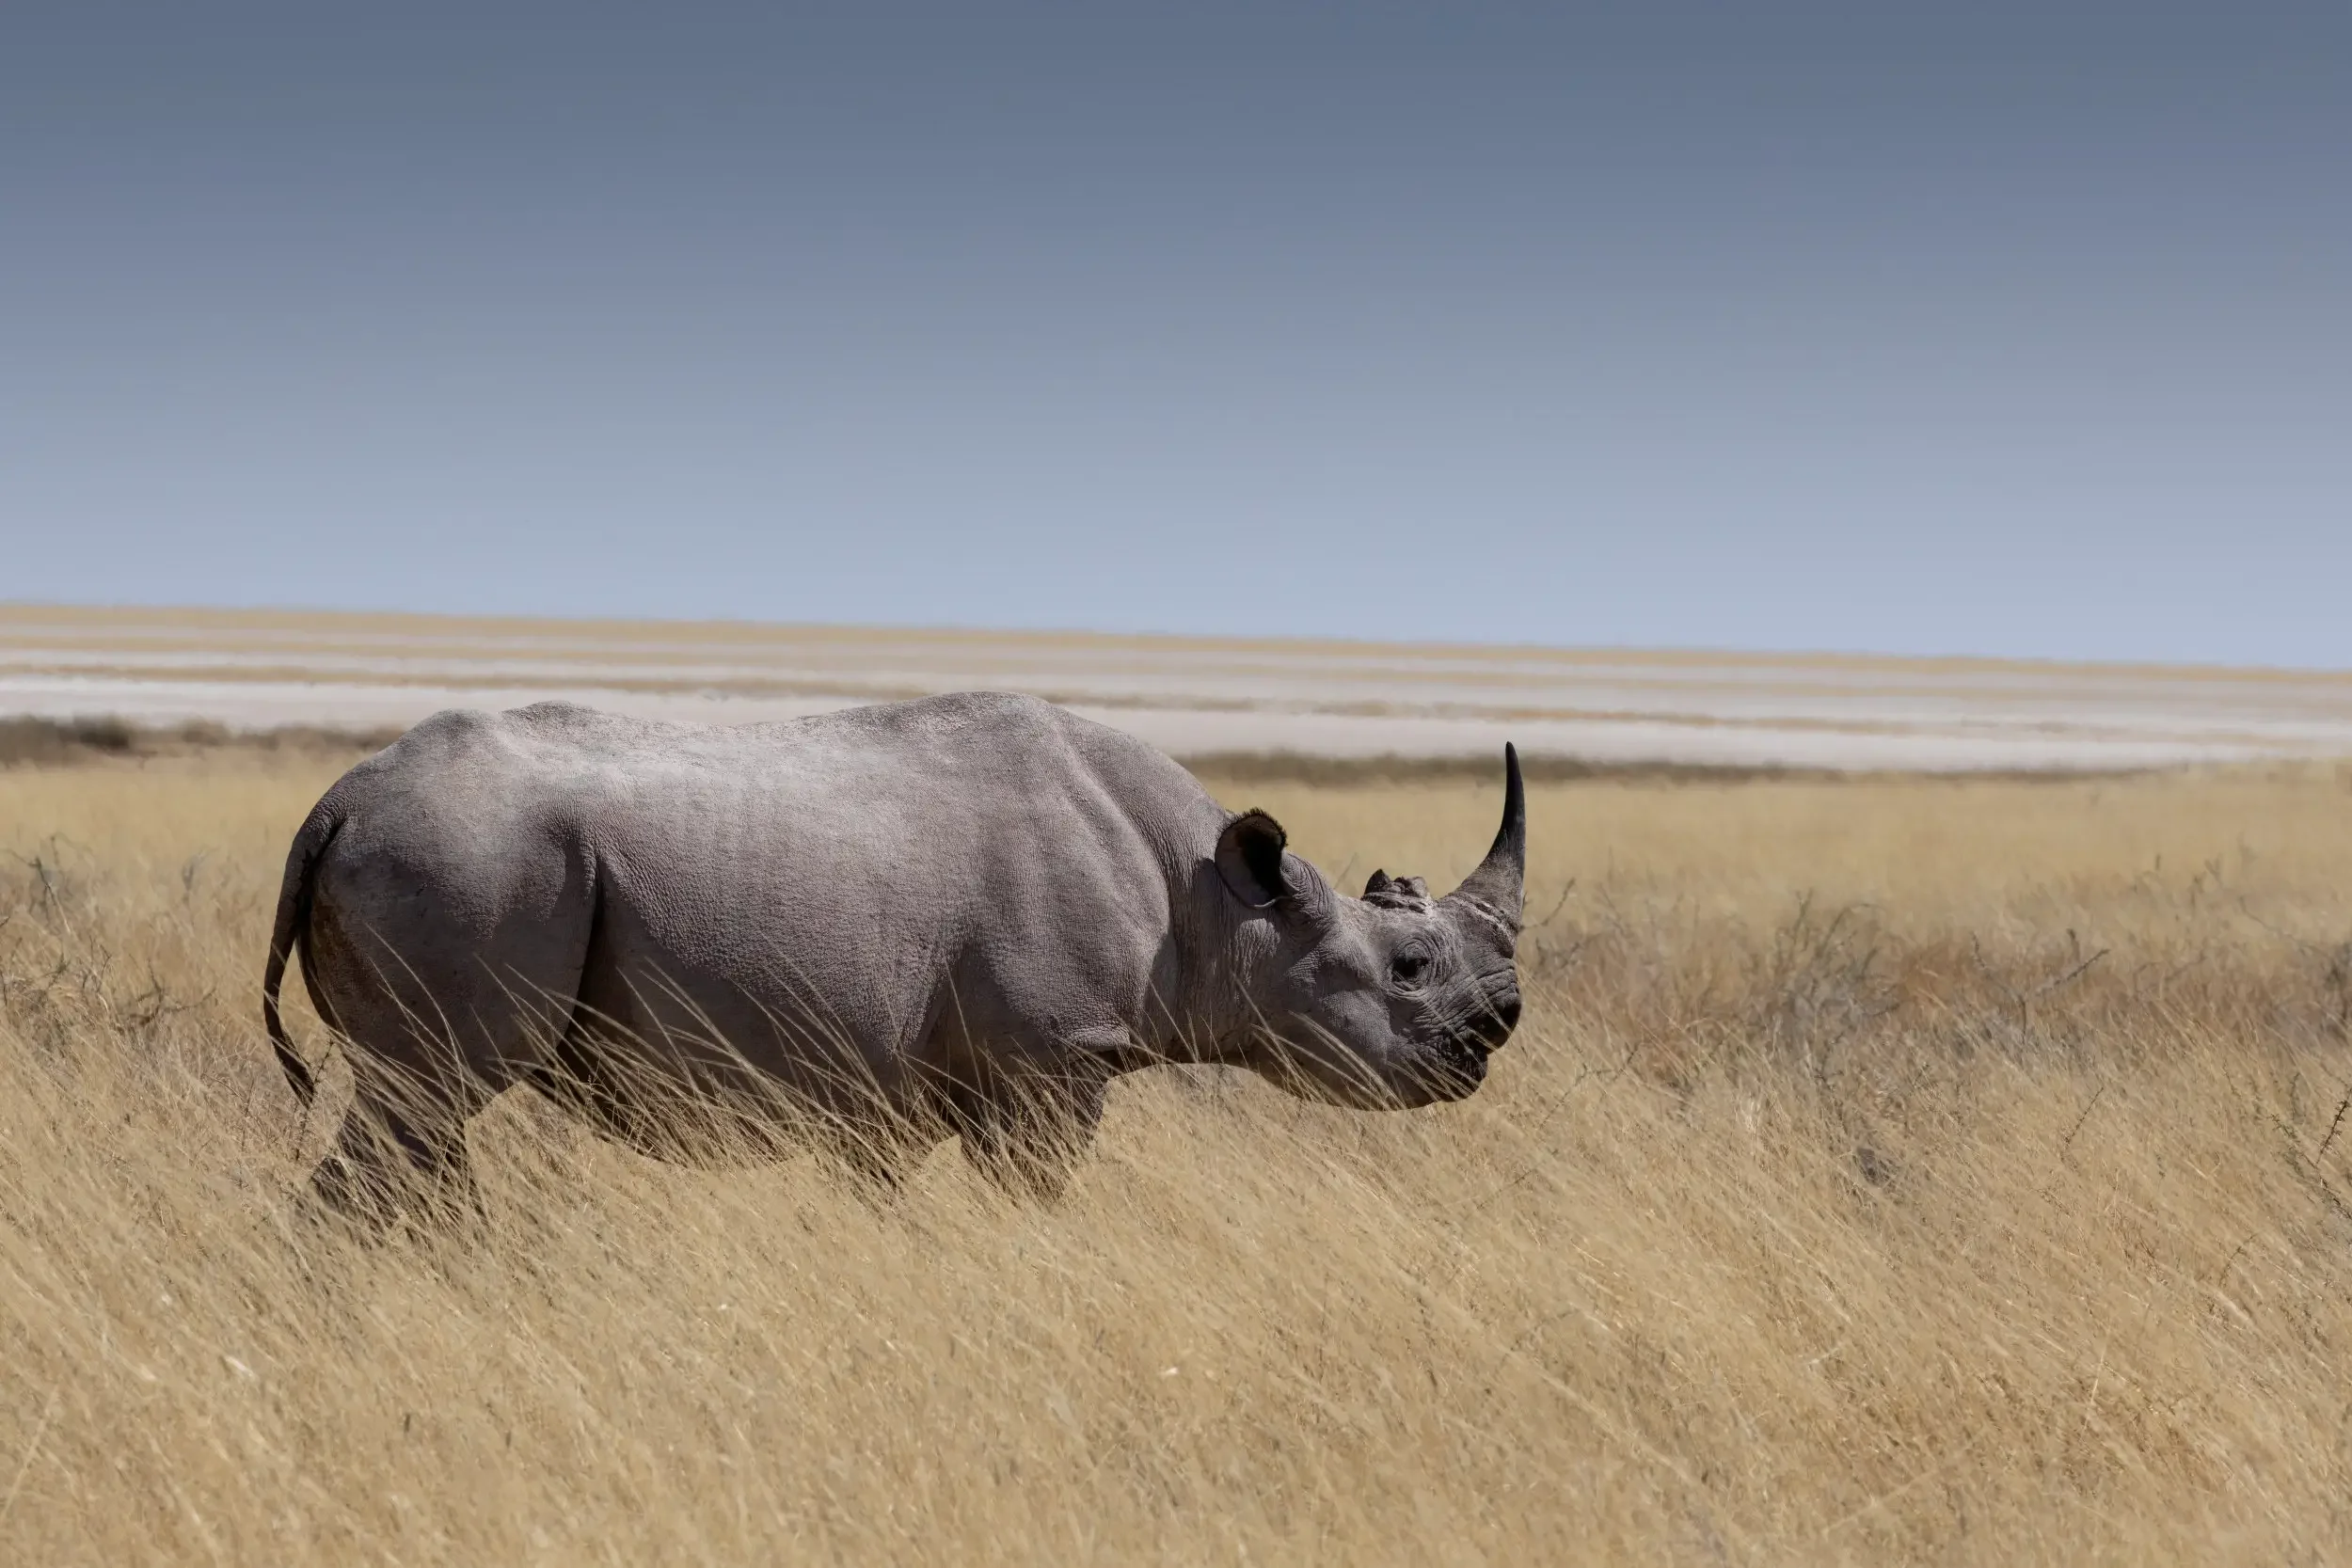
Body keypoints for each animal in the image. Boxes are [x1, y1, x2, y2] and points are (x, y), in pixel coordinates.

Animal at [262, 693, 1525, 1220]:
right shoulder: (1051, 1058)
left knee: (421, 1120)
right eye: (1410, 965)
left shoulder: (893, 1079)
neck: (1224, 899)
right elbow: (1033, 1202)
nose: (1492, 1036)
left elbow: (877, 1202)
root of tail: (336, 799)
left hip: (455, 857)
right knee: (427, 1102)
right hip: (465, 858)